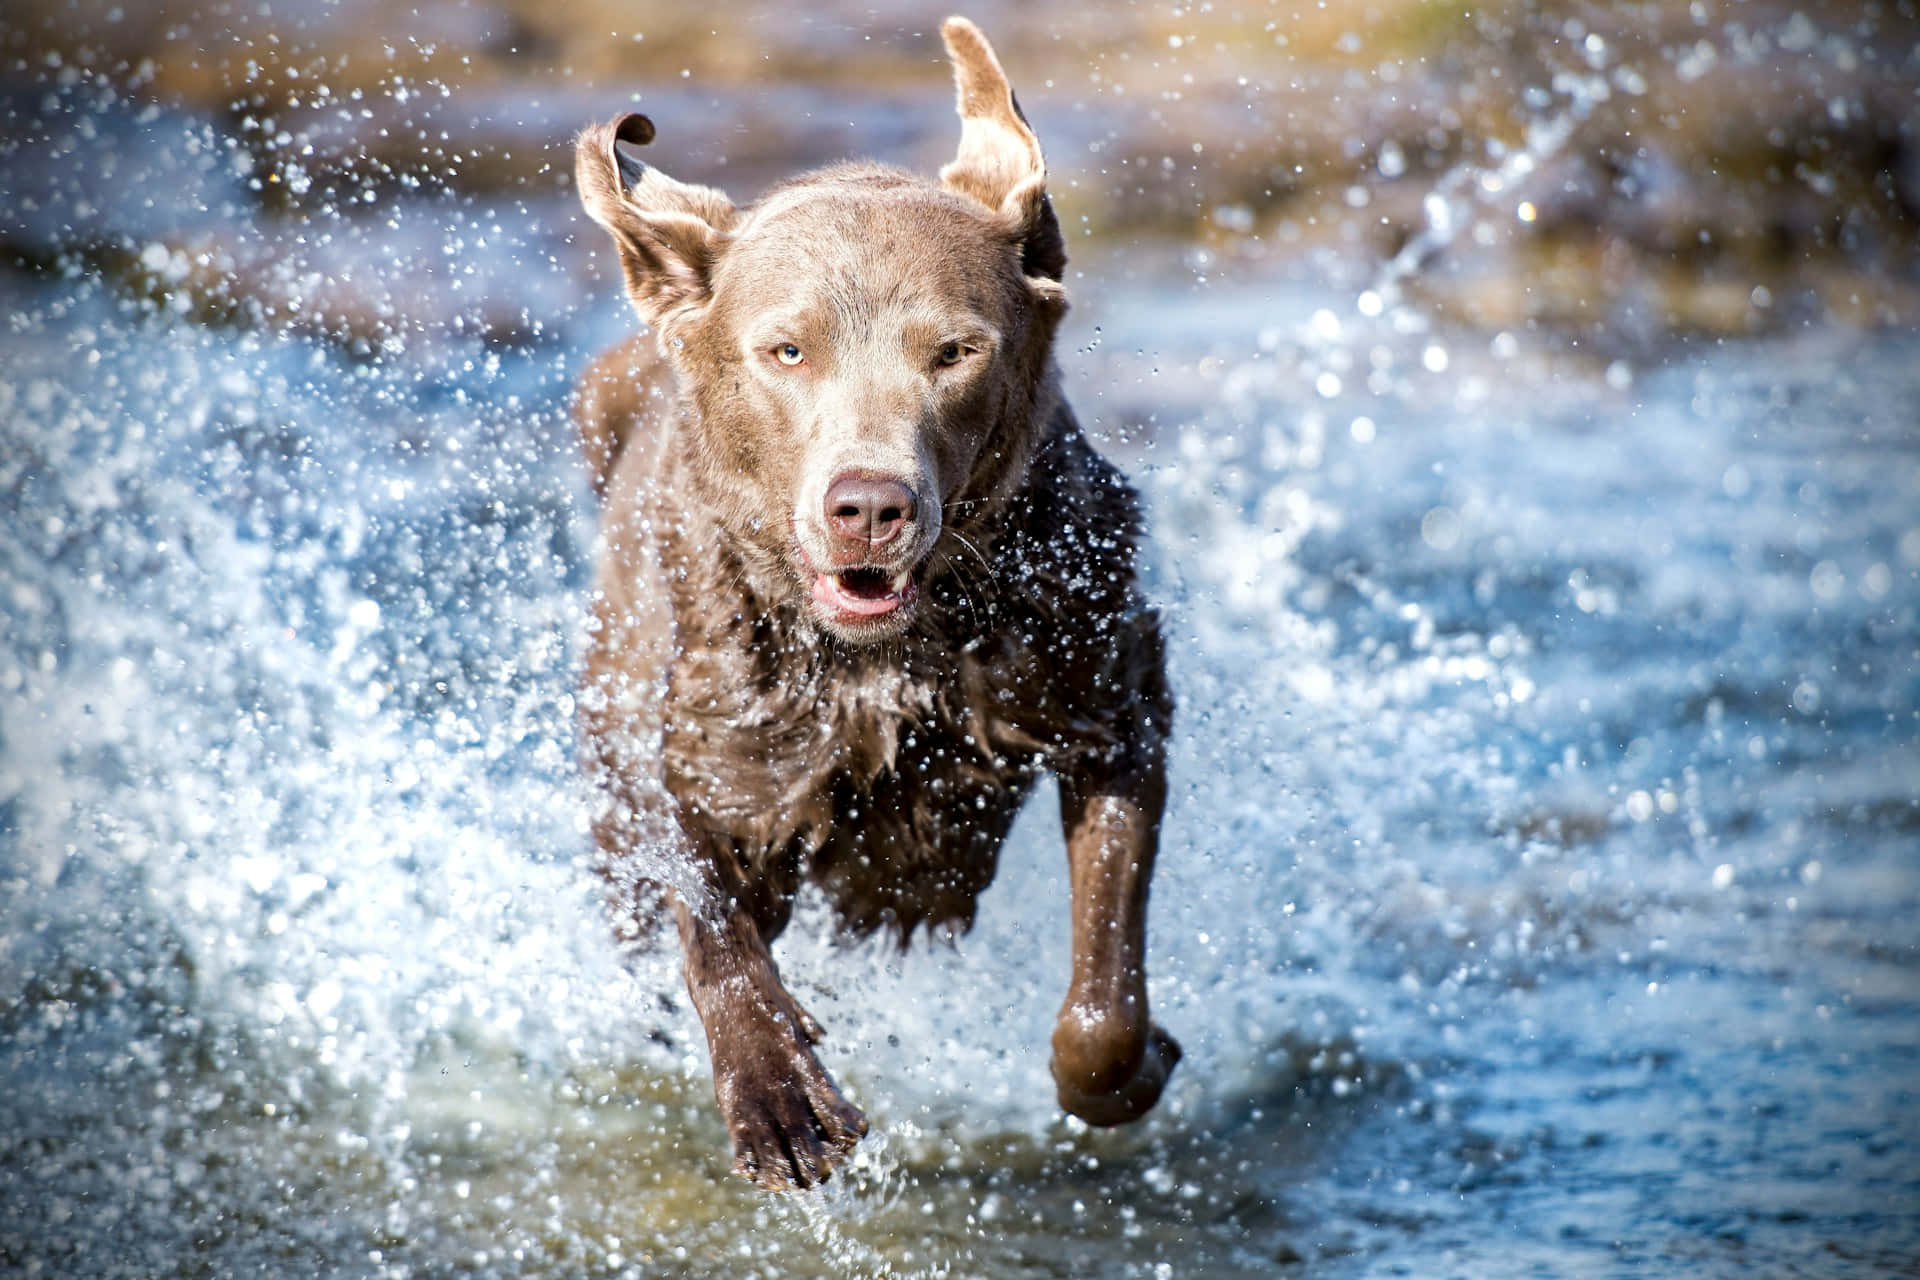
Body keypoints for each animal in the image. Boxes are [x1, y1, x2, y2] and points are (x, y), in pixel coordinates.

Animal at [572, 14, 1167, 1189]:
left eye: (956, 350)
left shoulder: (1106, 692)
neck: (886, 659)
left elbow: (1104, 999)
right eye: (786, 349)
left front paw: (1134, 1063)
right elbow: (709, 914)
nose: (871, 506)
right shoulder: (713, 740)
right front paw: (778, 1096)